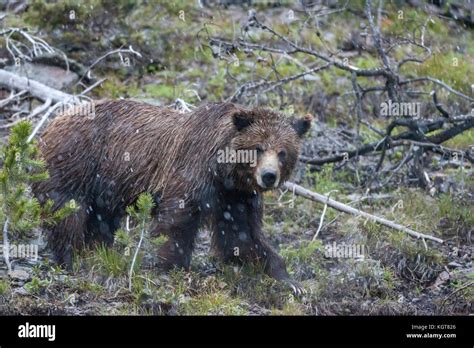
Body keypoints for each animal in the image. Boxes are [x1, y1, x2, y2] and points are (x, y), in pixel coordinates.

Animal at [31, 100, 310, 290]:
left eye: (282, 152)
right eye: (258, 148)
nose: (269, 176)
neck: (224, 171)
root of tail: (52, 122)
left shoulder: (236, 197)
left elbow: (241, 235)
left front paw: (286, 277)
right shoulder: (193, 170)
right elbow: (178, 219)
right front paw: (171, 265)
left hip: (104, 186)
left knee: (100, 219)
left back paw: (98, 252)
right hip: (78, 162)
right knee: (67, 210)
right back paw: (70, 257)